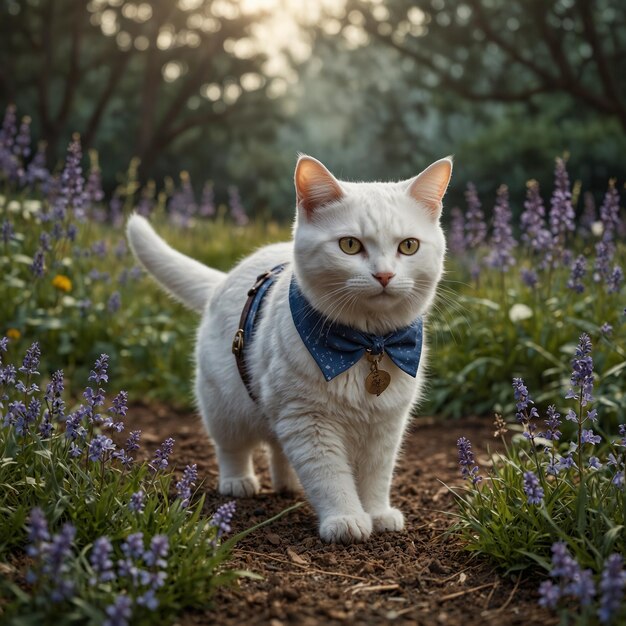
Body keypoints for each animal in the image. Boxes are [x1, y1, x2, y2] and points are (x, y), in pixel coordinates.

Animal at [125, 155, 448, 540]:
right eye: (350, 245)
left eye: (409, 246)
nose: (384, 275)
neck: (366, 345)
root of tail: (223, 279)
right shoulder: (309, 421)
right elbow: (330, 477)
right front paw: (345, 519)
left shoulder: (385, 426)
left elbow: (375, 477)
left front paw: (377, 513)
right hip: (227, 409)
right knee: (232, 449)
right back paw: (239, 482)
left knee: (280, 451)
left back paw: (289, 484)